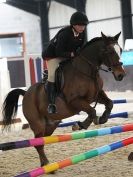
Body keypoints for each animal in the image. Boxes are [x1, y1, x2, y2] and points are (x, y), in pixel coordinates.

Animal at [1, 32, 125, 167]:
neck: (86, 71)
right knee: (38, 142)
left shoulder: (96, 95)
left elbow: (110, 103)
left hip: (50, 125)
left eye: (120, 50)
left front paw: (102, 119)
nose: (121, 75)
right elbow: (92, 111)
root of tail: (26, 93)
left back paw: (45, 164)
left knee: (42, 140)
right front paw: (80, 125)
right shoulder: (75, 100)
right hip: (37, 123)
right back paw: (46, 164)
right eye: (110, 51)